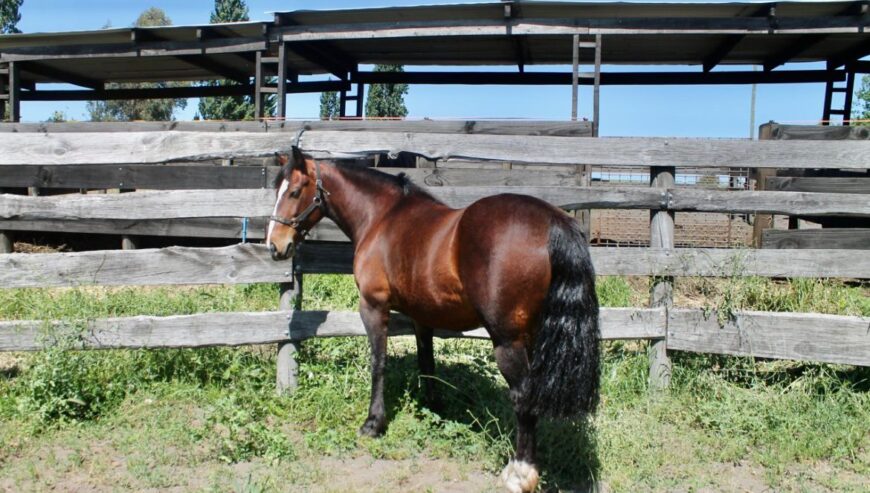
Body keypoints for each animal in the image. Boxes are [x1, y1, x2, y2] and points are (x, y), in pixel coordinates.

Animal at [270, 147, 604, 492]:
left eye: (295, 191)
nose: (275, 245)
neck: (382, 217)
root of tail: (554, 222)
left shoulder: (373, 307)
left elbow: (379, 363)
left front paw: (373, 423)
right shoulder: (422, 315)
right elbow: (426, 362)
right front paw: (434, 407)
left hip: (508, 340)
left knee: (523, 396)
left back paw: (521, 472)